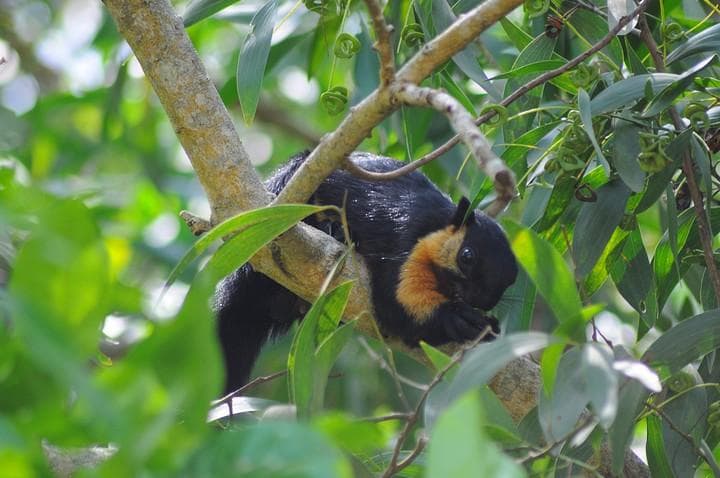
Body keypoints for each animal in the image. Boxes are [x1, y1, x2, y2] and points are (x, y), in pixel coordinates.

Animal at [215, 151, 518, 393]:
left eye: (511, 281)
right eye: (467, 256)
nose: (481, 300)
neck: (435, 226)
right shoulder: (404, 239)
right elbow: (398, 308)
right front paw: (462, 319)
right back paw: (333, 230)